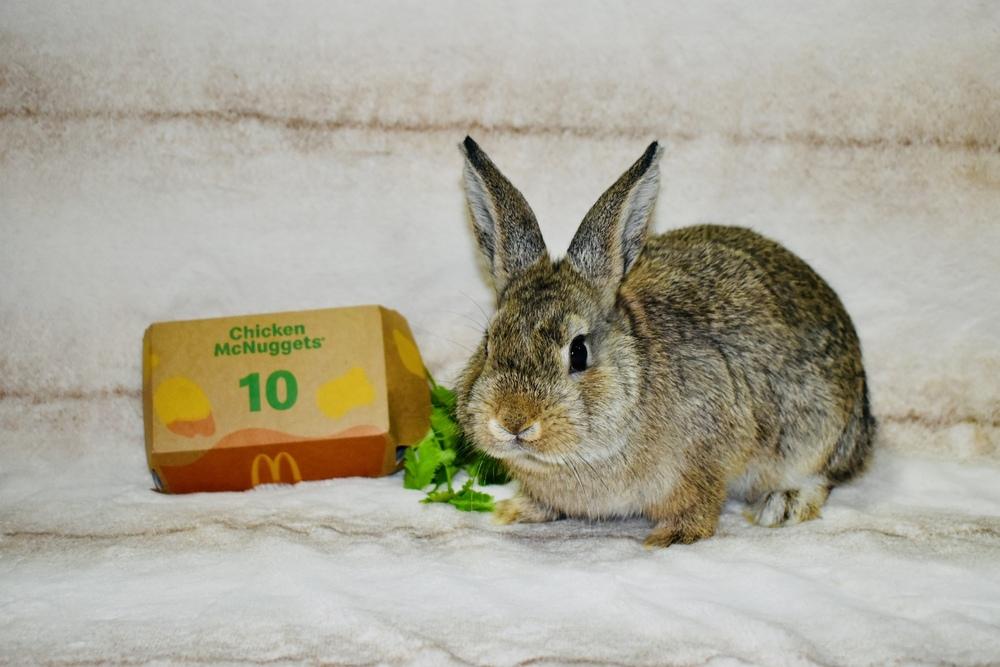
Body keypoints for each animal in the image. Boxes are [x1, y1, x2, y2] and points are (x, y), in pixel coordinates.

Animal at [454, 137, 875, 548]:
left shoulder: (706, 456)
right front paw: (515, 510)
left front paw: (670, 537)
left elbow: (700, 504)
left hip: (818, 434)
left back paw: (782, 505)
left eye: (578, 352)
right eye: (489, 342)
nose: (514, 421)